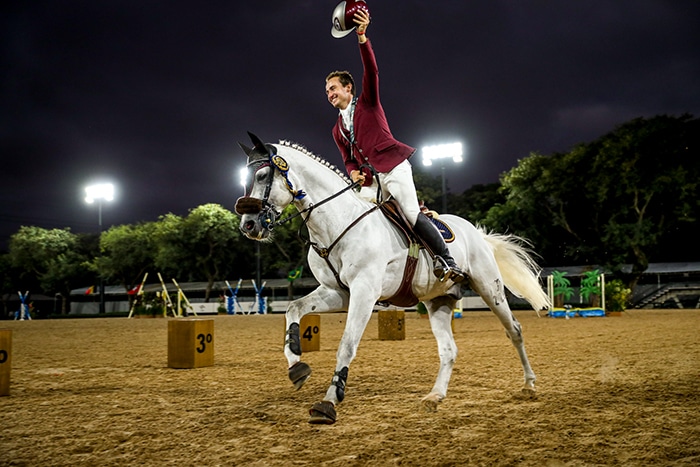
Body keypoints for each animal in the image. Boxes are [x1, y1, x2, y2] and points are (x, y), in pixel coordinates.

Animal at [237, 133, 552, 426]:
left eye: (262, 176)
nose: (248, 226)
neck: (336, 224)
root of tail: (476, 231)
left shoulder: (364, 292)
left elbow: (347, 344)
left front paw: (329, 401)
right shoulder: (337, 292)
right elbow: (294, 309)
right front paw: (297, 367)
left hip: (490, 289)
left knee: (514, 331)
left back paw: (529, 384)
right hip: (438, 301)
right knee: (449, 350)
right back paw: (435, 396)